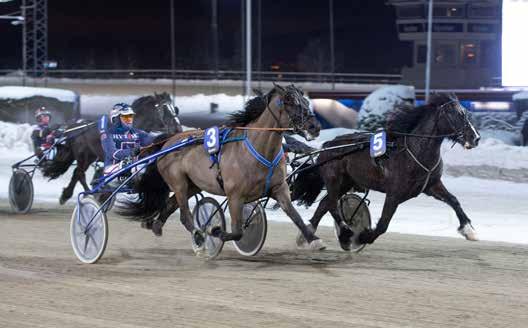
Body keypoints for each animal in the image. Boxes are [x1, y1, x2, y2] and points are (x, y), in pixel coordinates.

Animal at [41, 92, 183, 204]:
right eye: (164, 109)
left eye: (174, 109)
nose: (178, 129)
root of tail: (75, 126)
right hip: (83, 156)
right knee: (79, 173)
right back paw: (87, 194)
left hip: (90, 156)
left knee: (77, 173)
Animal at [122, 84, 326, 251]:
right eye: (291, 103)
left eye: (306, 102)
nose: (315, 127)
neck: (256, 149)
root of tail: (168, 141)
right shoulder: (235, 195)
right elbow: (237, 231)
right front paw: (215, 231)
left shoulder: (280, 189)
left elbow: (295, 217)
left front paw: (313, 239)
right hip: (178, 183)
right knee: (185, 216)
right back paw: (198, 235)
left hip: (192, 185)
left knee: (171, 205)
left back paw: (156, 226)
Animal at [292, 92, 482, 249]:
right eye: (456, 115)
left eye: (466, 114)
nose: (475, 138)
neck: (414, 151)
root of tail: (327, 146)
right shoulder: (394, 194)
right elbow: (383, 224)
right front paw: (363, 236)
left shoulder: (431, 185)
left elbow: (454, 200)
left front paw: (469, 230)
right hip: (334, 180)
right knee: (331, 205)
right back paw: (345, 233)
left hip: (346, 182)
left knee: (324, 204)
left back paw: (307, 237)